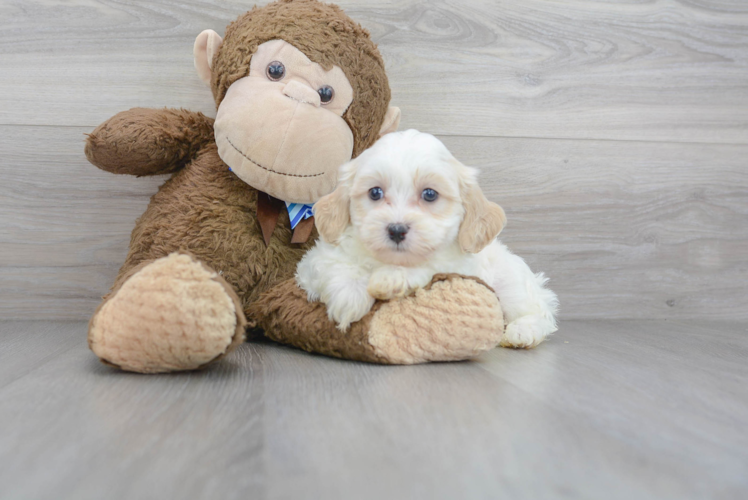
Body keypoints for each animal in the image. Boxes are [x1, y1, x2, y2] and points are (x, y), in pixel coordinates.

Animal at [296, 129, 560, 348]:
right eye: (375, 192)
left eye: (430, 194)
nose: (396, 230)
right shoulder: (313, 261)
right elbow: (335, 265)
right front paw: (349, 296)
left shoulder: (458, 266)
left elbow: (427, 267)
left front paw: (390, 278)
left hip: (512, 284)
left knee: (540, 310)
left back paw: (523, 331)